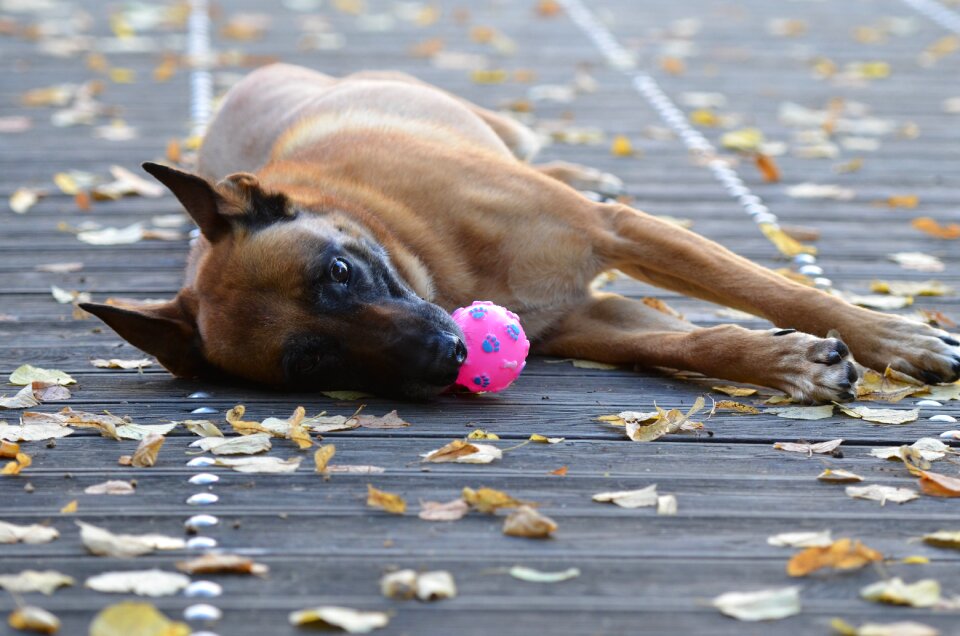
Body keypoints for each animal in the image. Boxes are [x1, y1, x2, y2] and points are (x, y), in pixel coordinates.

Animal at [82, 66, 960, 402]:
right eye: (311, 363)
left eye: (338, 272)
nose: (446, 355)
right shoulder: (589, 320)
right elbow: (694, 341)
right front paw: (785, 362)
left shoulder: (618, 231)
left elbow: (773, 288)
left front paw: (896, 339)